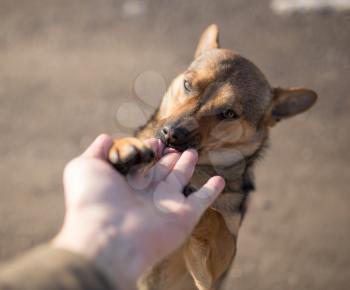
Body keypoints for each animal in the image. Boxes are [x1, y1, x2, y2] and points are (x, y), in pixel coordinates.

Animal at [107, 24, 318, 290]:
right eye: (187, 84)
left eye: (228, 113)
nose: (171, 134)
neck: (201, 167)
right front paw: (124, 148)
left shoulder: (210, 273)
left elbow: (215, 220)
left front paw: (192, 201)